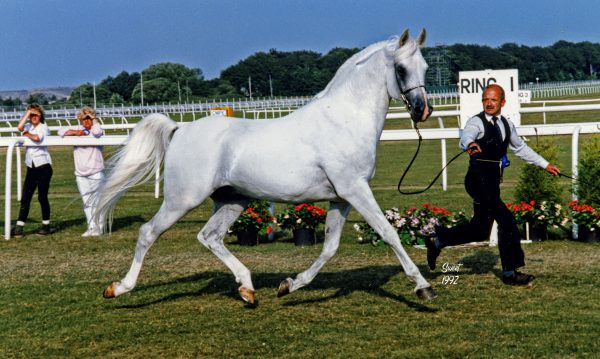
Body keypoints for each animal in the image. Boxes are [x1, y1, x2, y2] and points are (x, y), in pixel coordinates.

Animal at [97, 29, 436, 306]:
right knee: (149, 232)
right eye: (401, 68)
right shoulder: (355, 189)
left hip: (232, 200)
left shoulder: (341, 198)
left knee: (210, 237)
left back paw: (247, 289)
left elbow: (330, 247)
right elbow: (388, 232)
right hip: (183, 199)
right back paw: (119, 288)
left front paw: (289, 285)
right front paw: (423, 287)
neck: (343, 119)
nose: (423, 110)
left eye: (426, 68)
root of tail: (180, 129)